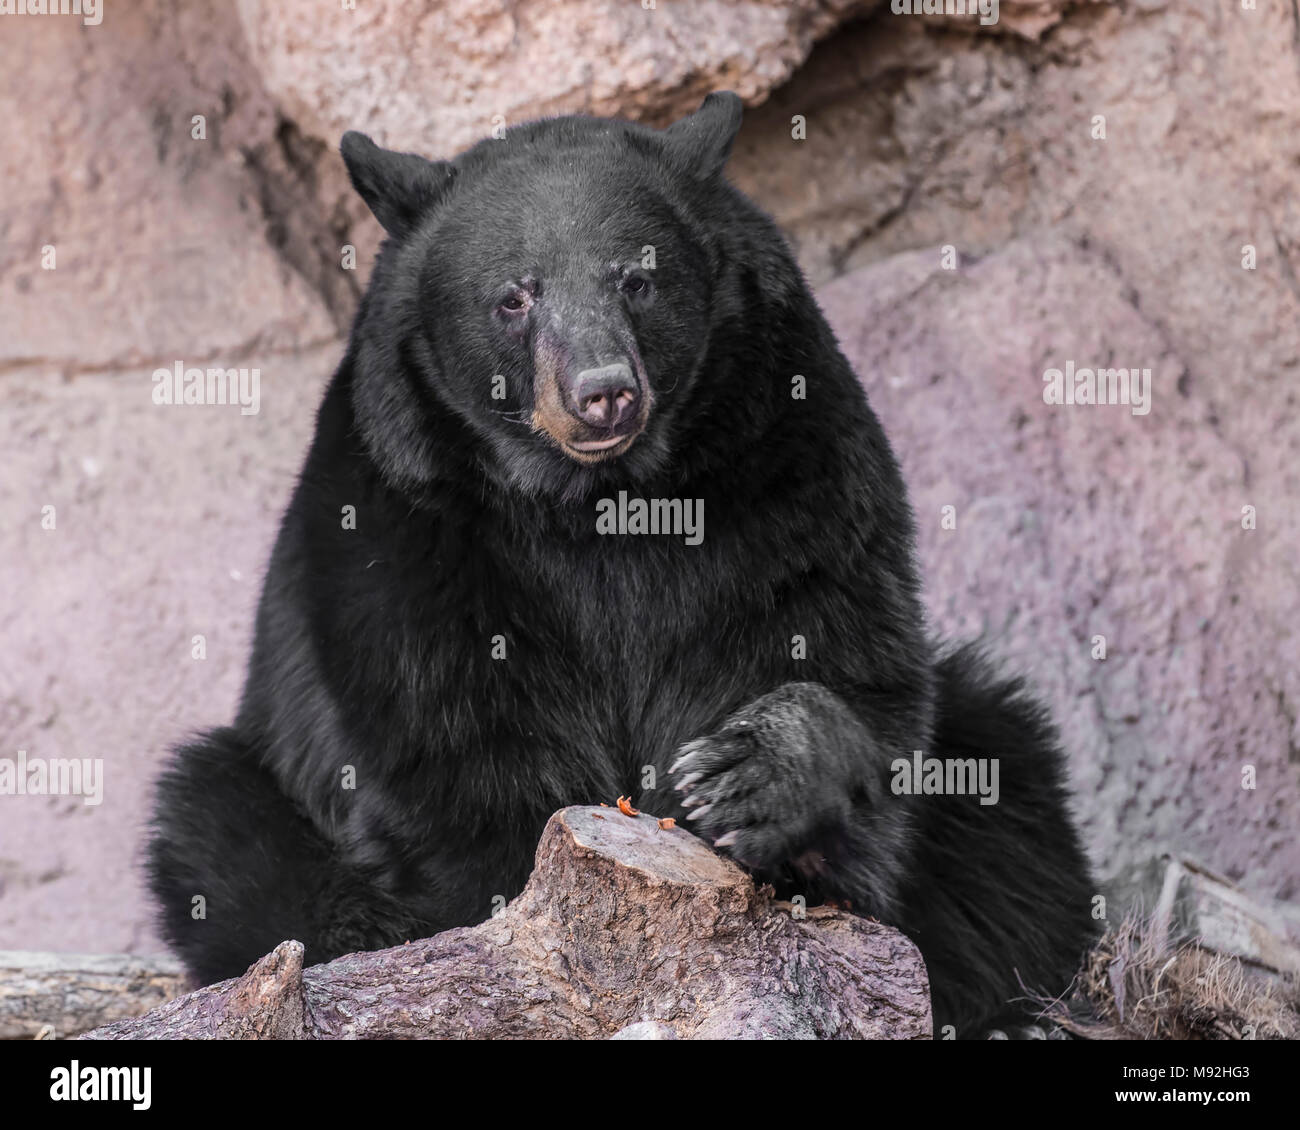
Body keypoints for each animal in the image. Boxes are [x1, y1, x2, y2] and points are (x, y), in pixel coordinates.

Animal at [144, 92, 1097, 1035]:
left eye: (636, 278)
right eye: (513, 296)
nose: (603, 392)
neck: (601, 500)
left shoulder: (790, 458)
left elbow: (840, 645)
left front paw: (747, 776)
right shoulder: (408, 524)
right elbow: (446, 740)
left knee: (1011, 793)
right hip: (253, 784)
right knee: (215, 830)